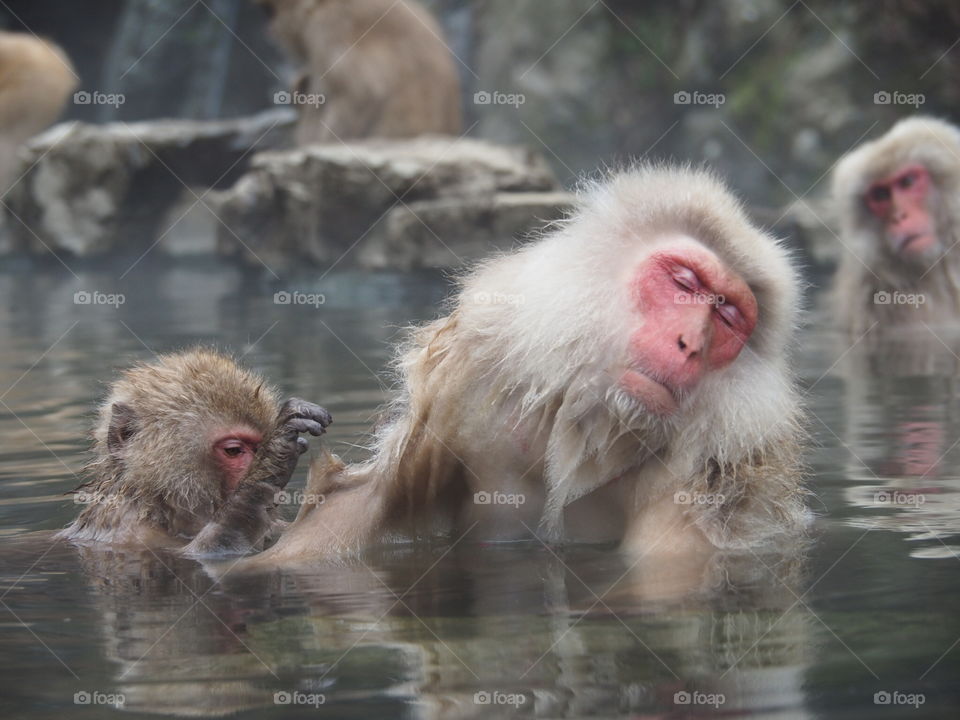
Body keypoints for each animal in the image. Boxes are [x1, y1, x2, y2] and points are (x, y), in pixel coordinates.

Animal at [57, 349, 332, 557]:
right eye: (234, 450)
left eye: (256, 446)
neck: (158, 507)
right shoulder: (127, 528)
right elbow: (208, 553)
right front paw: (275, 455)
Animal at [239, 164, 808, 568]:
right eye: (684, 282)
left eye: (728, 316)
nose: (689, 343)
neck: (593, 423)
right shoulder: (464, 378)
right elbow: (361, 511)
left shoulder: (719, 465)